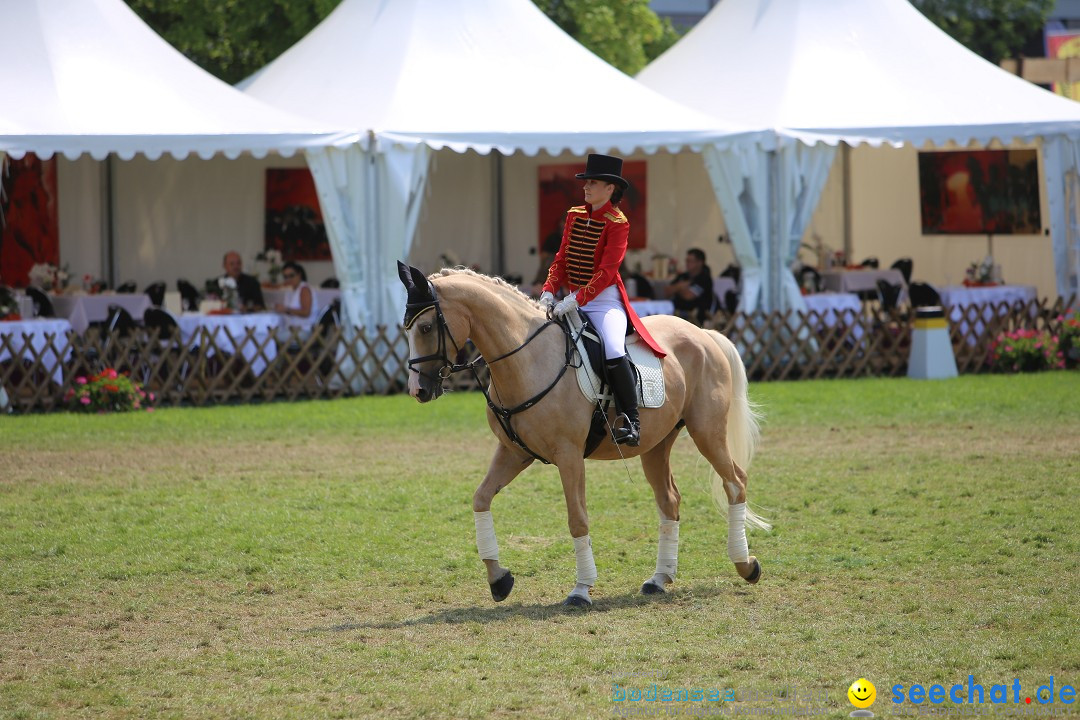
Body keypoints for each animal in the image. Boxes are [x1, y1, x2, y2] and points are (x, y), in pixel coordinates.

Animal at [399, 264, 768, 608]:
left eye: (426, 327)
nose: (417, 390)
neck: (528, 358)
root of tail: (703, 333)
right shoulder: (514, 453)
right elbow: (480, 499)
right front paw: (499, 579)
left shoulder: (569, 456)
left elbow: (577, 520)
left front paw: (581, 590)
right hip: (655, 445)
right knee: (670, 501)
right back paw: (660, 579)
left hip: (707, 432)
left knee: (735, 482)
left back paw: (746, 565)